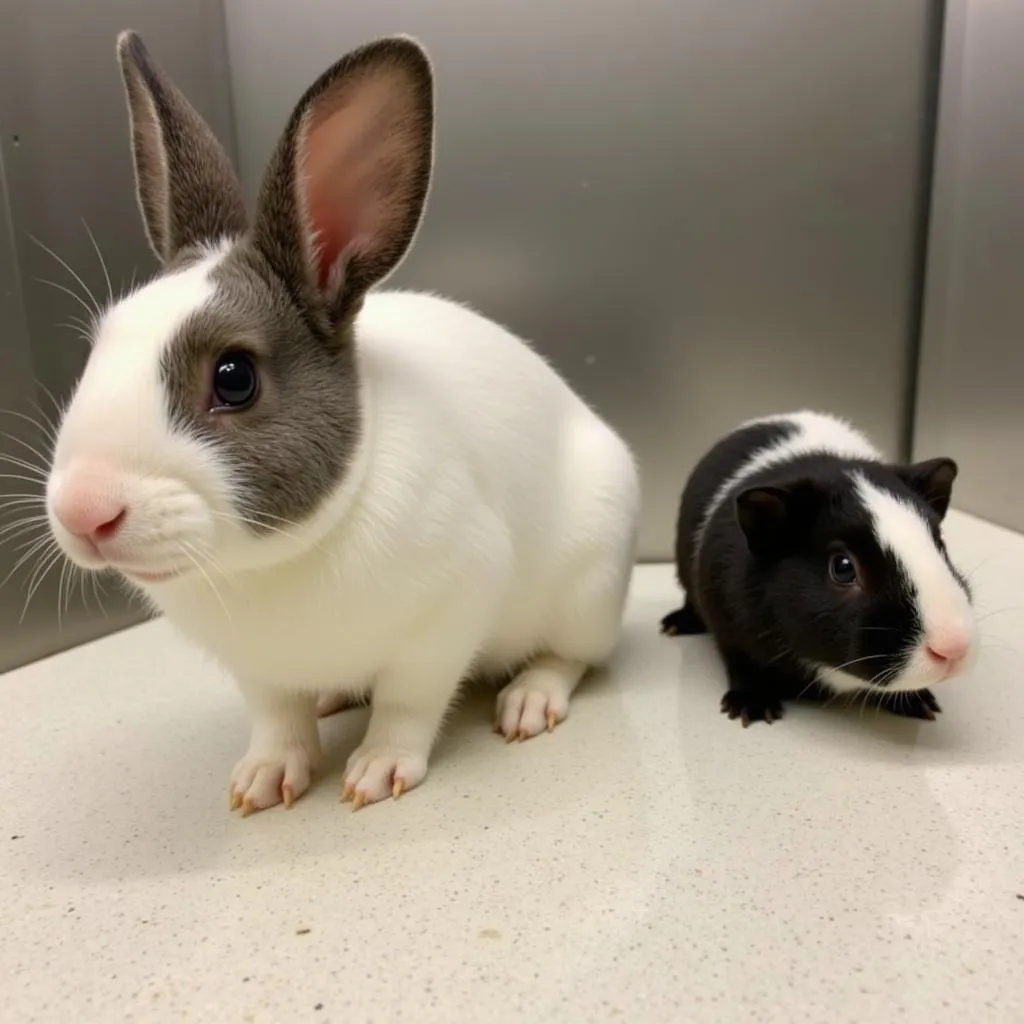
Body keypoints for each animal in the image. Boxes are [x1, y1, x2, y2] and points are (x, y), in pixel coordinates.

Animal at [49, 29, 638, 815]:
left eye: (234, 378)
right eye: (99, 345)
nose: (83, 512)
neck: (273, 563)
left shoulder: (449, 611)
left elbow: (407, 705)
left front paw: (378, 772)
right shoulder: (259, 673)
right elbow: (279, 719)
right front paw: (261, 782)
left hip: (588, 587)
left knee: (571, 656)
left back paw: (528, 702)